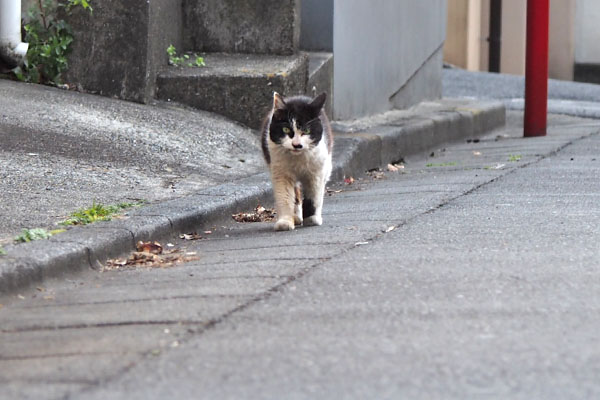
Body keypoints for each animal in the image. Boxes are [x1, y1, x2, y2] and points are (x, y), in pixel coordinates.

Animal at [262, 92, 332, 231]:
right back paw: (296, 217)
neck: (298, 159)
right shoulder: (281, 173)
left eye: (307, 131)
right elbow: (284, 196)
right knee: (296, 193)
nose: (296, 144)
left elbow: (313, 196)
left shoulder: (316, 173)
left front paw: (312, 218)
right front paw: (285, 222)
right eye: (286, 130)